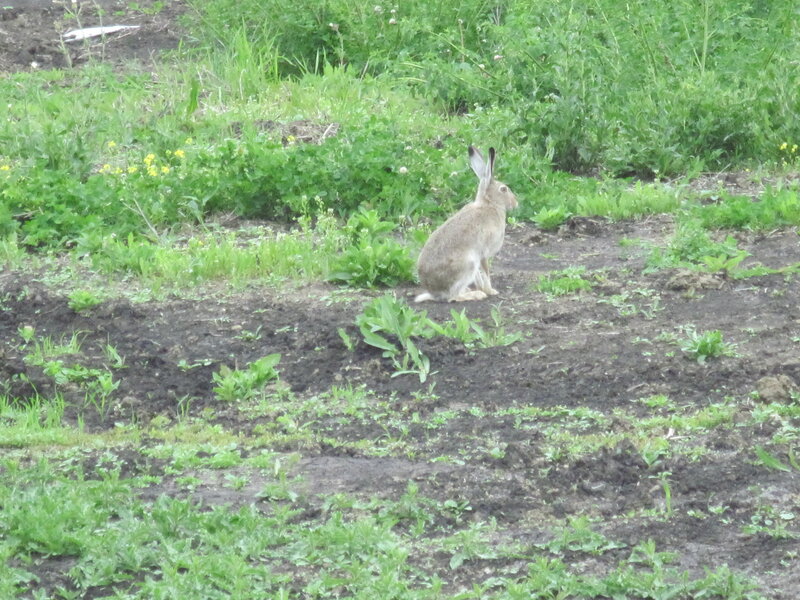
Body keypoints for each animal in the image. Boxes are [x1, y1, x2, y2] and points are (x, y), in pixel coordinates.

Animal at [415, 146, 518, 302]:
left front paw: (483, 288)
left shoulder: (478, 257)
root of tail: (435, 292)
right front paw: (490, 291)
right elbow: (486, 272)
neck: (490, 204)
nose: (515, 202)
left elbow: (479, 275)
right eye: (504, 189)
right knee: (453, 297)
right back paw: (475, 294)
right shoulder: (483, 253)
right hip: (467, 264)